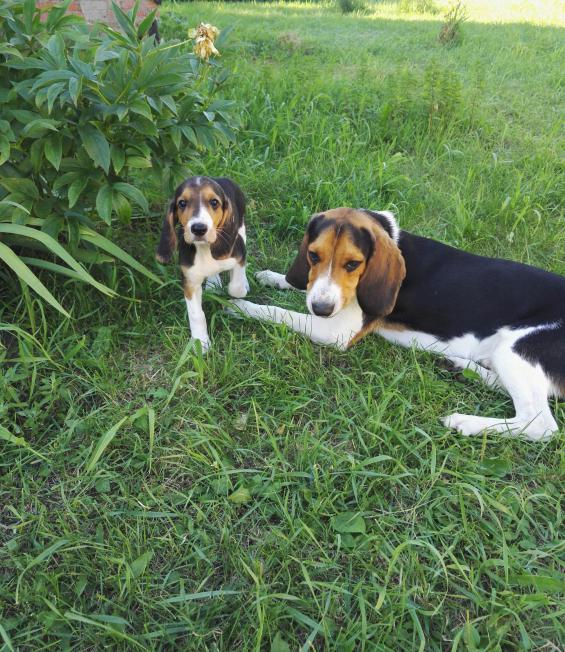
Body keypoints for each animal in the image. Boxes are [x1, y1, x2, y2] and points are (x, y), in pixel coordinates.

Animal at [156, 176, 249, 351]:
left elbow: (236, 287)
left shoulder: (240, 254)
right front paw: (201, 342)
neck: (205, 248)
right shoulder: (190, 282)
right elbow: (196, 314)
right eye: (182, 203)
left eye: (214, 202)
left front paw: (240, 290)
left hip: (241, 227)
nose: (199, 228)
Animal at [229, 208, 564, 440]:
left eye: (353, 264)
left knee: (540, 425)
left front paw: (242, 306)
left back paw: (466, 422)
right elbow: (303, 287)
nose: (322, 309)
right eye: (312, 256)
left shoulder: (336, 331)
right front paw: (273, 277)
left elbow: (278, 312)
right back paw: (460, 366)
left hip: (516, 348)